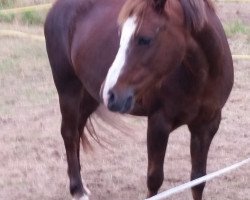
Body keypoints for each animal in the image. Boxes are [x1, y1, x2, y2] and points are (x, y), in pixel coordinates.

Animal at [44, 0, 233, 199]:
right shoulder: (158, 123)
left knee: (78, 129)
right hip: (68, 89)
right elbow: (154, 179)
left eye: (145, 39)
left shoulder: (206, 126)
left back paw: (81, 183)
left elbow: (198, 180)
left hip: (90, 94)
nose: (110, 92)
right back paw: (77, 189)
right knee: (69, 133)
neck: (203, 77)